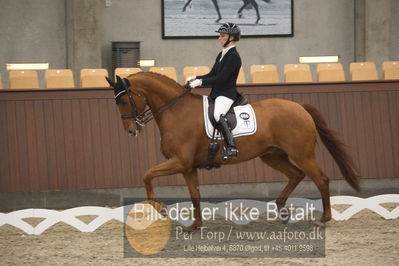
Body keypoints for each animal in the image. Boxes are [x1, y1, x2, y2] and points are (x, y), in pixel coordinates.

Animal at [105, 71, 360, 230]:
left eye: (124, 101)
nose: (132, 131)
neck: (176, 111)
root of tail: (299, 106)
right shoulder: (188, 167)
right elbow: (195, 194)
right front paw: (195, 226)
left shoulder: (179, 162)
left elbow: (146, 174)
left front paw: (158, 208)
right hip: (272, 155)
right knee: (296, 174)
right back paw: (282, 211)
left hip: (302, 154)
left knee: (321, 179)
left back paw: (323, 219)